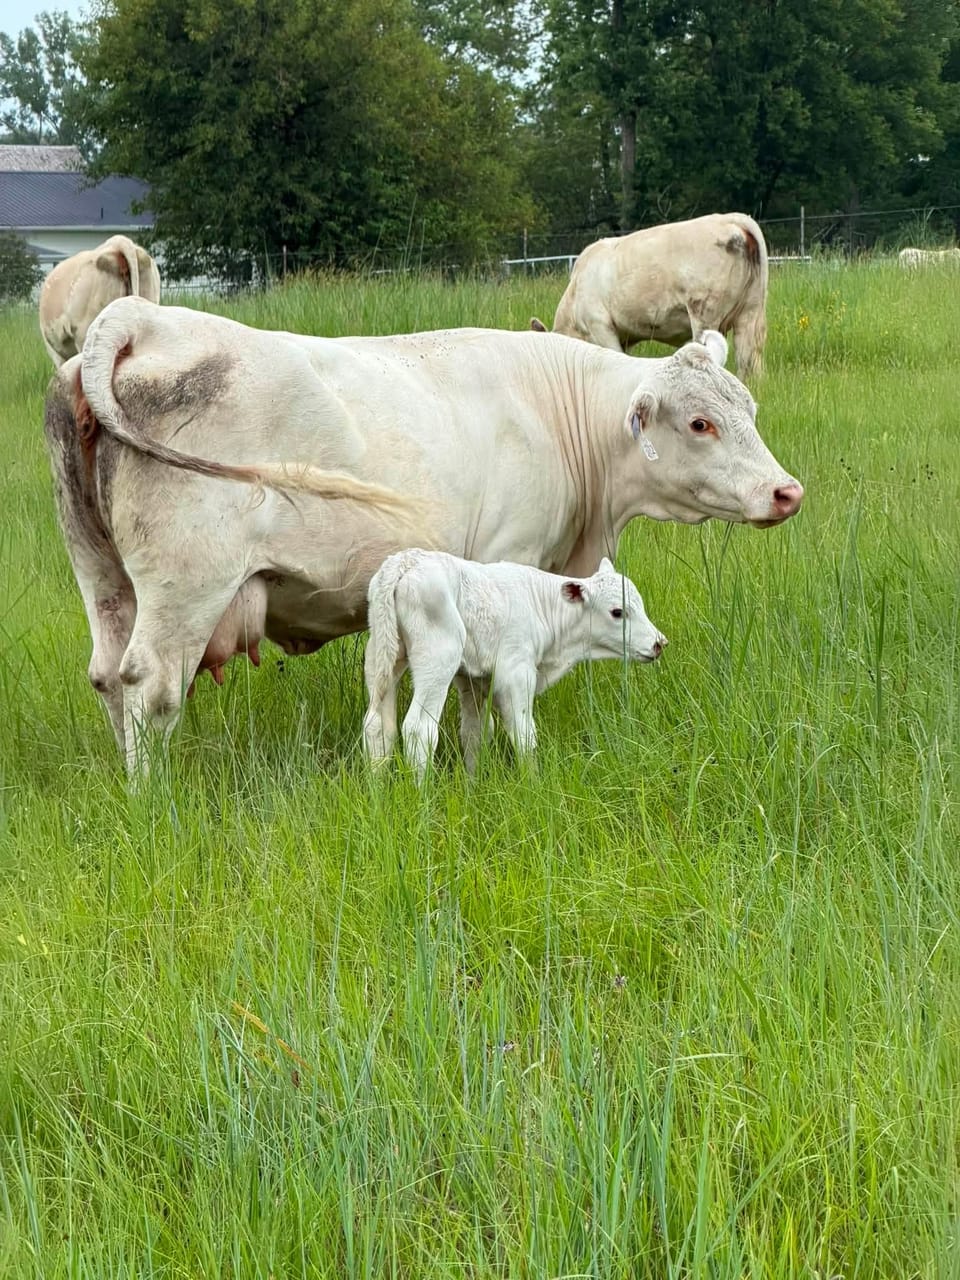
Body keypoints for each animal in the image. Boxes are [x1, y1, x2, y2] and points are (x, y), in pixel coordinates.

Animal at [362, 549, 666, 780]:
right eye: (617, 612)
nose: (658, 643)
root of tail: (404, 562)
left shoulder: (473, 679)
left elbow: (475, 733)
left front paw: (473, 786)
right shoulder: (516, 675)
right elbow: (523, 735)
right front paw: (534, 786)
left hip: (381, 657)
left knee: (378, 726)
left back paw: (378, 793)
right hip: (437, 660)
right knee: (419, 729)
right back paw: (423, 796)